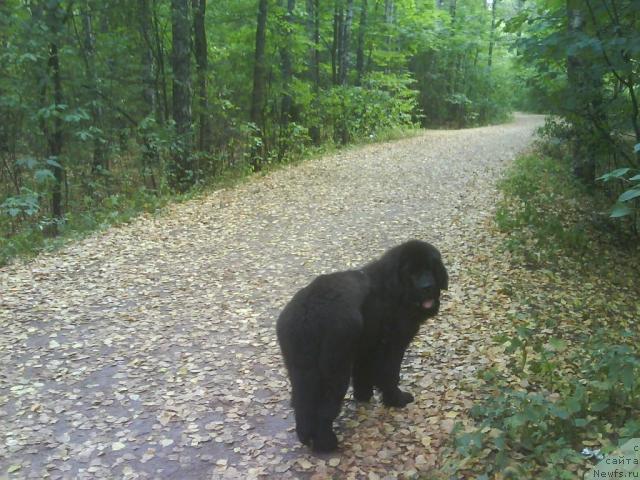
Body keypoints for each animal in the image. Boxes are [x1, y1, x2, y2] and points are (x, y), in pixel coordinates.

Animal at [276, 242, 450, 452]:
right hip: (335, 369)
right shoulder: (392, 346)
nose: (427, 287)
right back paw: (327, 444)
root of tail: (308, 311)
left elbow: (363, 374)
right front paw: (396, 400)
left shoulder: (365, 347)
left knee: (302, 403)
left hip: (301, 368)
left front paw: (363, 395)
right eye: (411, 273)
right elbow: (390, 375)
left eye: (430, 268)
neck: (395, 289)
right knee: (324, 408)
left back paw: (306, 437)